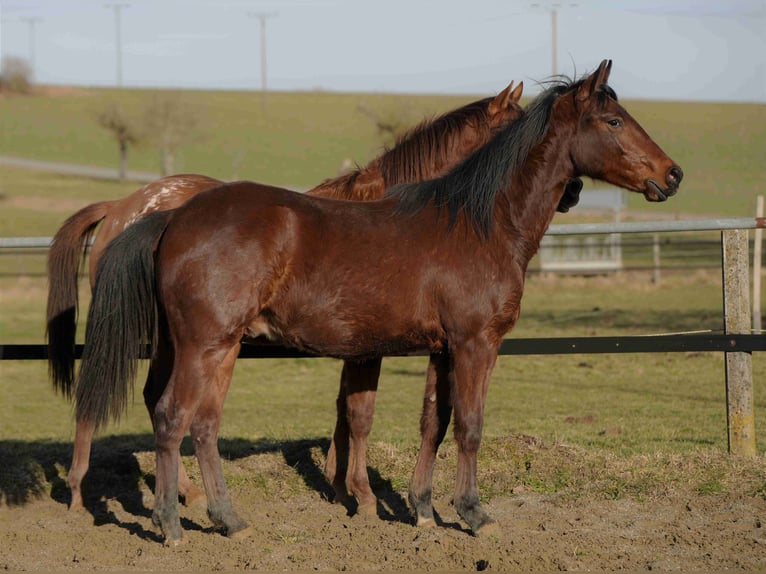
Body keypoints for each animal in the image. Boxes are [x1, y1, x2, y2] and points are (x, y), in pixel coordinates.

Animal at [72, 60, 684, 548]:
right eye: (613, 121)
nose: (672, 174)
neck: (480, 223)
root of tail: (168, 215)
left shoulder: (441, 349)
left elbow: (433, 422)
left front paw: (422, 509)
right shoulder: (475, 344)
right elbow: (470, 425)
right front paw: (473, 514)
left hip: (216, 348)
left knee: (202, 425)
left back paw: (228, 519)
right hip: (204, 345)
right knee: (173, 418)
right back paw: (171, 525)